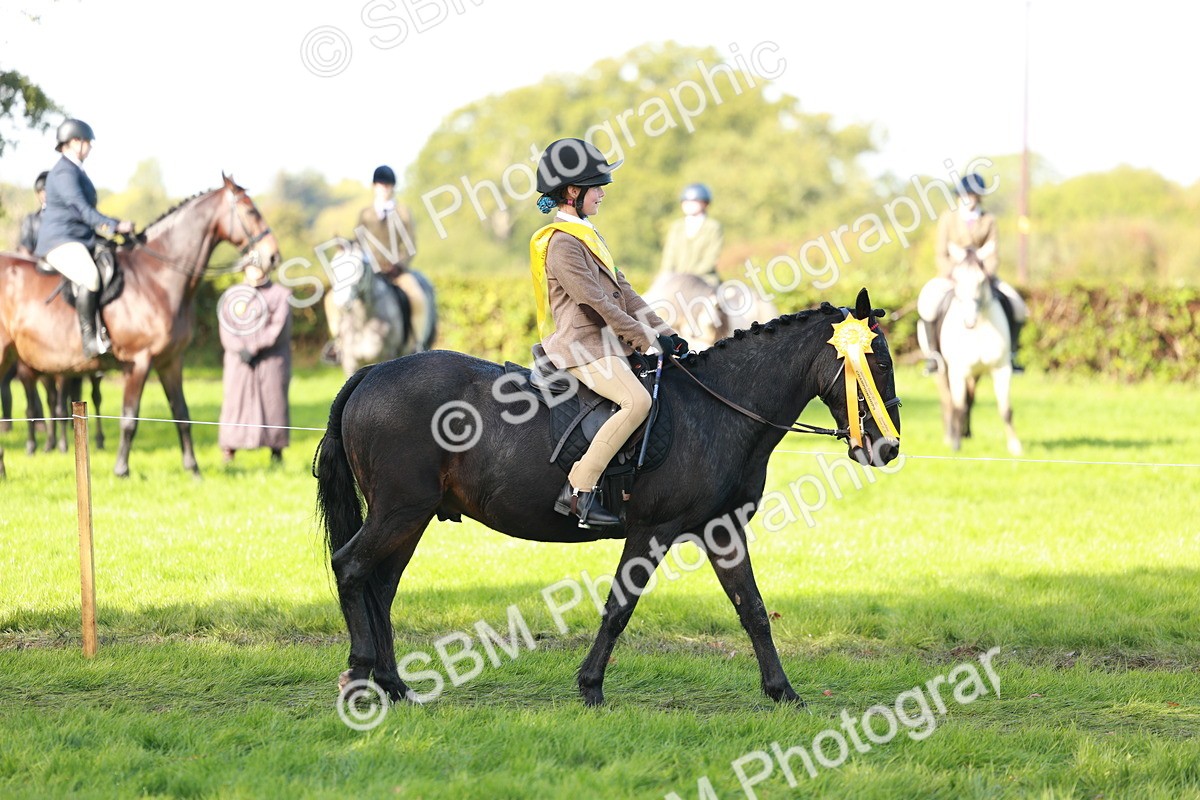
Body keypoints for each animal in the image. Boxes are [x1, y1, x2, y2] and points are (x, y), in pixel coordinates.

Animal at [0, 174, 279, 479]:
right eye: (250, 210)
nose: (273, 256)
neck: (156, 279)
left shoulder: (171, 361)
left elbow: (182, 414)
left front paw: (193, 469)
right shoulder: (139, 361)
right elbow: (129, 417)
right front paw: (121, 469)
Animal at [315, 287, 901, 707]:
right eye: (877, 363)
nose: (888, 447)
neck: (719, 409)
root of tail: (372, 372)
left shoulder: (722, 530)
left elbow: (752, 609)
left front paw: (784, 692)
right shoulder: (652, 531)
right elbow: (620, 607)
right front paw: (591, 686)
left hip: (410, 518)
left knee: (381, 587)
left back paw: (394, 684)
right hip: (399, 511)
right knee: (351, 568)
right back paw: (361, 675)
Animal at [322, 239, 437, 376]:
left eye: (361, 266)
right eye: (333, 266)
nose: (341, 302)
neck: (363, 323)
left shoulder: (387, 356)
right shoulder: (350, 363)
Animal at [926, 253, 1022, 455]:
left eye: (982, 280)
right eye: (956, 279)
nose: (969, 321)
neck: (979, 327)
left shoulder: (1002, 369)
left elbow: (1006, 409)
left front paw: (1015, 446)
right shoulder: (957, 372)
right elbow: (957, 406)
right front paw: (955, 445)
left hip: (975, 374)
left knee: (969, 399)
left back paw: (966, 433)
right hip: (941, 371)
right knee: (948, 400)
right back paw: (950, 436)